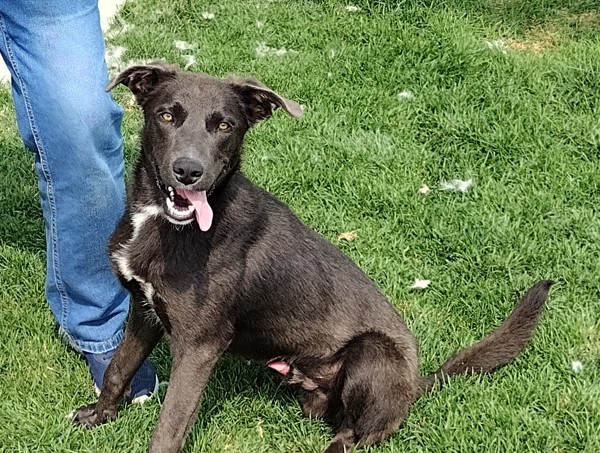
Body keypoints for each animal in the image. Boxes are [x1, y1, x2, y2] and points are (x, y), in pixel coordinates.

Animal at [71, 62, 552, 452]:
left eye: (225, 126)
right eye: (167, 115)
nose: (188, 171)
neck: (166, 223)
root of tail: (418, 382)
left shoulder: (199, 346)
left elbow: (169, 427)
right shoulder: (144, 310)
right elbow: (118, 369)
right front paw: (99, 415)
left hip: (372, 355)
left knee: (358, 434)